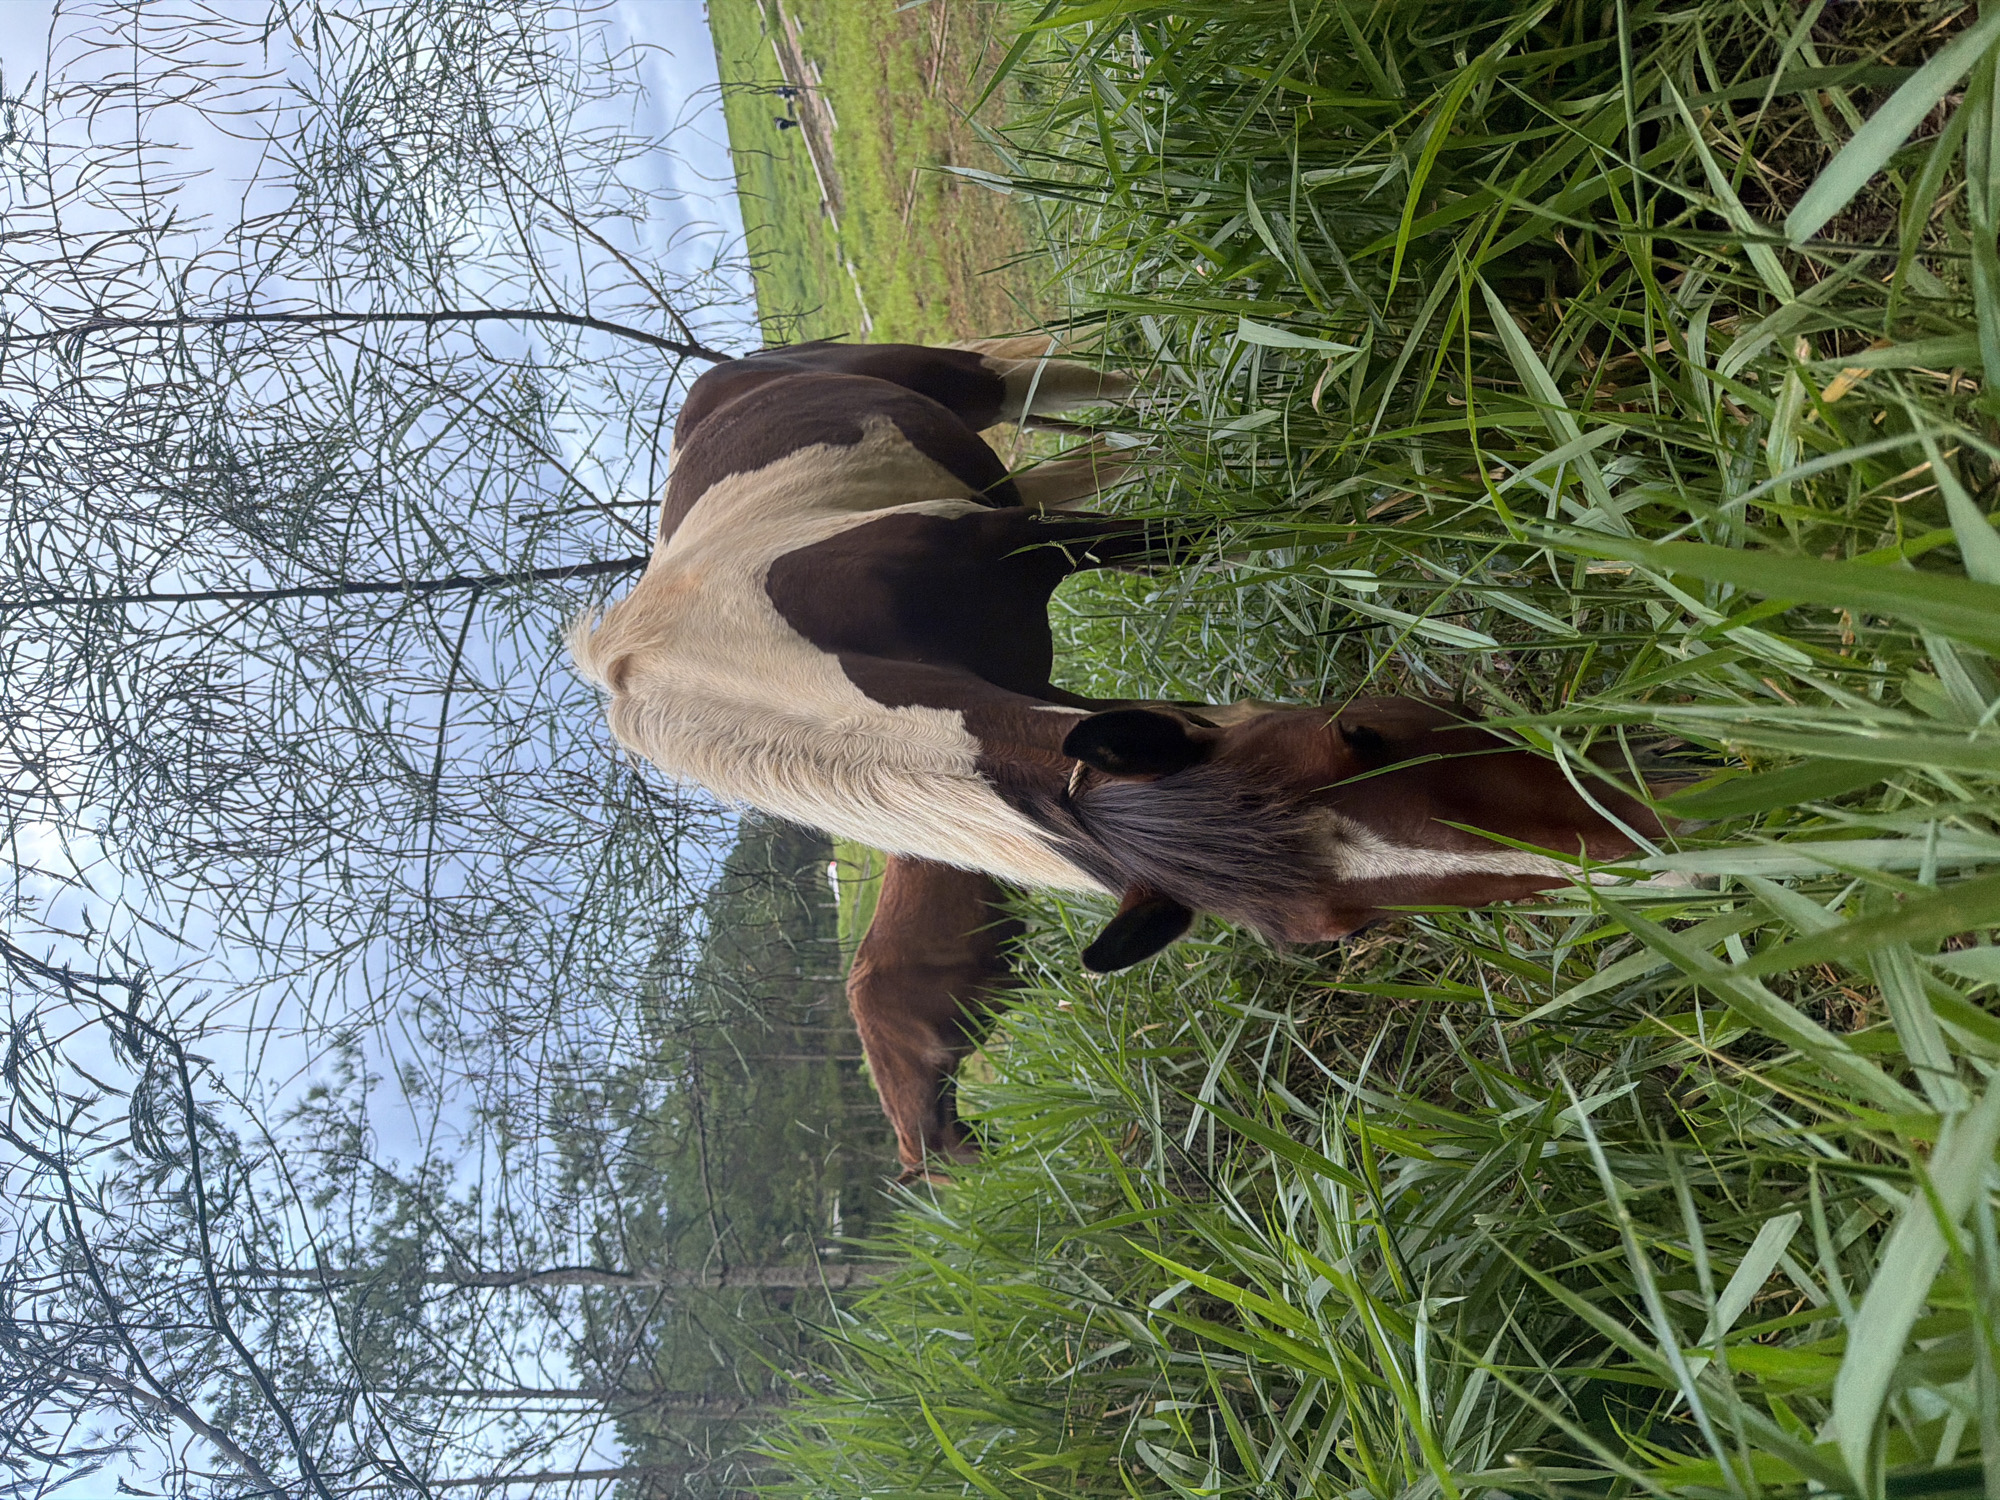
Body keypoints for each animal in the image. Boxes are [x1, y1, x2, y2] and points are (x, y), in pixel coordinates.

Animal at [570, 337, 1669, 1175]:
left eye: (1359, 733)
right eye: (1332, 937)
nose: (1642, 848)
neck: (775, 691)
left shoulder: (1033, 540)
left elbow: (1209, 529)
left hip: (969, 390)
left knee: (1083, 389)